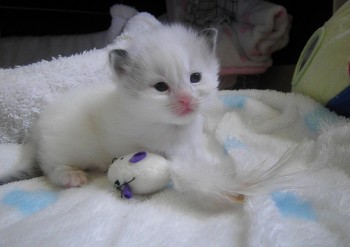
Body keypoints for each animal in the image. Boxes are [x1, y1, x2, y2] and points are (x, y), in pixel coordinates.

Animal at [0, 24, 219, 187]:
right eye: (160, 87)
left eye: (195, 77)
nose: (186, 99)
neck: (170, 125)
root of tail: (35, 131)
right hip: (61, 148)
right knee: (49, 168)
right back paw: (70, 175)